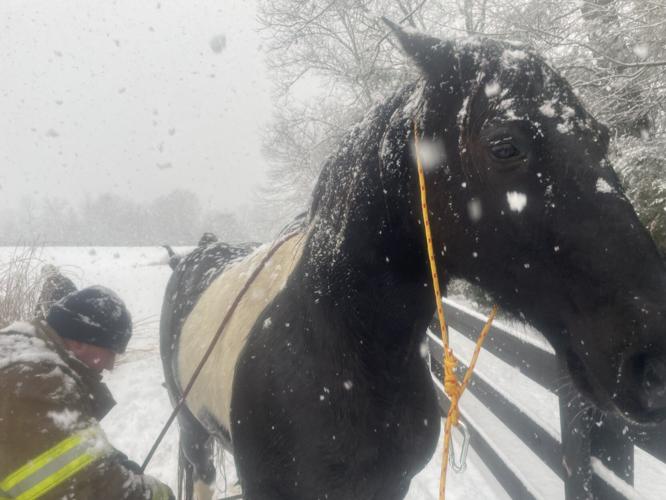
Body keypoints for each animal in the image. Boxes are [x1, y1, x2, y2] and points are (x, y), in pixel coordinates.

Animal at [160, 21, 666, 500]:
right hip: (193, 437)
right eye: (504, 145)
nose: (654, 363)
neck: (338, 341)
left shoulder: (391, 485)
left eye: (602, 138)